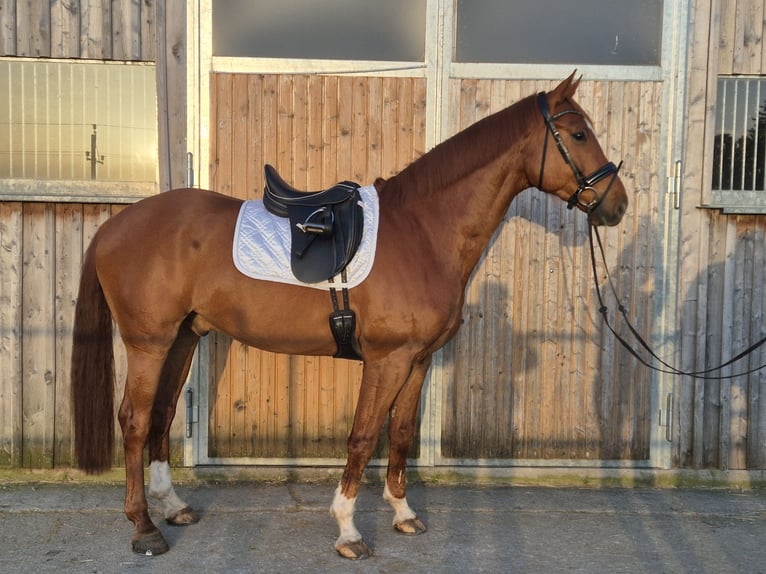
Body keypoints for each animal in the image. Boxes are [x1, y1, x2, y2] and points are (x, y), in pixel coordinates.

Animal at [69, 74, 628, 560]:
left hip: (183, 337)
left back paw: (173, 507)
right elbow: (362, 436)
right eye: (578, 134)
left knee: (162, 414)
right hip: (149, 342)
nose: (617, 204)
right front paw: (348, 531)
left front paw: (403, 514)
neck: (422, 231)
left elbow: (400, 433)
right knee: (135, 420)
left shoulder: (418, 361)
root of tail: (117, 225)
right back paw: (144, 527)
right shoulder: (386, 361)